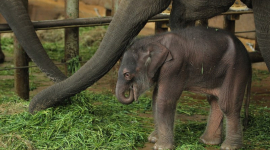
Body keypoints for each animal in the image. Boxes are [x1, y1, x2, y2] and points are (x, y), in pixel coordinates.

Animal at [115, 26, 252, 149]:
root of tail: (246, 53)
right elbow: (155, 98)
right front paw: (153, 139)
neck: (156, 40)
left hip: (236, 68)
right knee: (214, 102)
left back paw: (229, 147)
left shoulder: (175, 66)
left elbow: (165, 100)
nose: (131, 91)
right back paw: (208, 142)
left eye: (127, 74)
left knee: (227, 105)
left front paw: (161, 146)